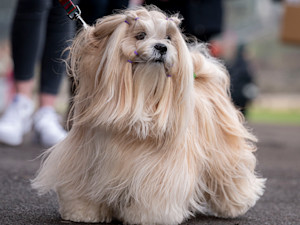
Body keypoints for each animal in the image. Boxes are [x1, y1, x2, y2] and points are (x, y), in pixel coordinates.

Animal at [32, 6, 266, 224]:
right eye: (140, 35)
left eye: (168, 38)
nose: (161, 47)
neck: (137, 106)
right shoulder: (84, 159)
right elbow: (82, 188)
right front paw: (82, 212)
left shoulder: (159, 173)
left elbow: (152, 196)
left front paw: (147, 217)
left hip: (225, 155)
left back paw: (235, 206)